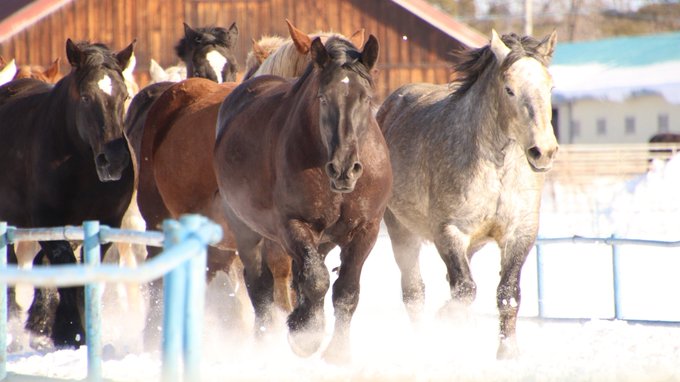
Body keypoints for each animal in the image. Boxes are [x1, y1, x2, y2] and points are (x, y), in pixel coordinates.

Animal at [0, 39, 137, 350]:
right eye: (86, 97)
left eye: (124, 96)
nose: (115, 161)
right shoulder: (46, 223)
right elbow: (68, 272)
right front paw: (72, 332)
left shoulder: (104, 225)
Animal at [215, 34, 390, 362]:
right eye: (322, 98)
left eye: (366, 98)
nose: (344, 168)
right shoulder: (294, 225)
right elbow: (315, 280)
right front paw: (305, 335)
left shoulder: (366, 230)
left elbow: (346, 290)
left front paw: (338, 353)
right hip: (247, 230)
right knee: (259, 285)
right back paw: (264, 342)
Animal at [378, 31, 556, 360]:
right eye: (509, 89)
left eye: (550, 87)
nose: (544, 151)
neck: (497, 169)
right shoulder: (449, 231)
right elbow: (465, 290)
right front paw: (446, 320)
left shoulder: (520, 233)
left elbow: (507, 294)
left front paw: (508, 352)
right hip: (401, 231)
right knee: (414, 291)